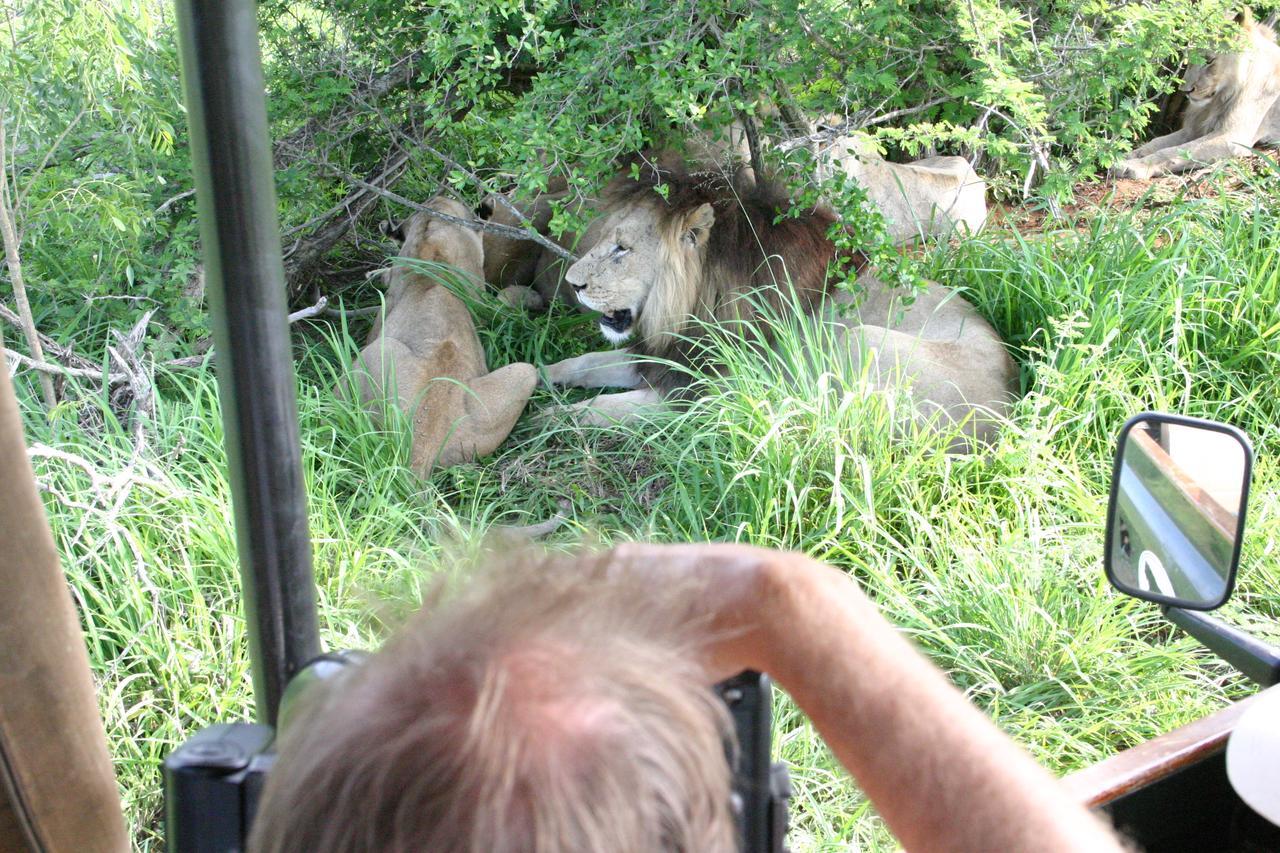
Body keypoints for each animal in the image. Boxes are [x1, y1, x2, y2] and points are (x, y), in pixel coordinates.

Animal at [542, 169, 1018, 455]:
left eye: (622, 248)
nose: (572, 284)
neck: (692, 303)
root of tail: (1005, 422)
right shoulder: (665, 360)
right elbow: (582, 362)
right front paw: (539, 377)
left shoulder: (707, 395)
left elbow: (602, 409)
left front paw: (549, 419)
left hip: (858, 340)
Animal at [1111, 9, 1280, 179]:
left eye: (1209, 60)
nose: (1185, 91)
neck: (1221, 98)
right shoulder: (1194, 129)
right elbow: (1158, 142)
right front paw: (1129, 155)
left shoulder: (1232, 135)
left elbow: (1172, 151)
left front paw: (1135, 166)